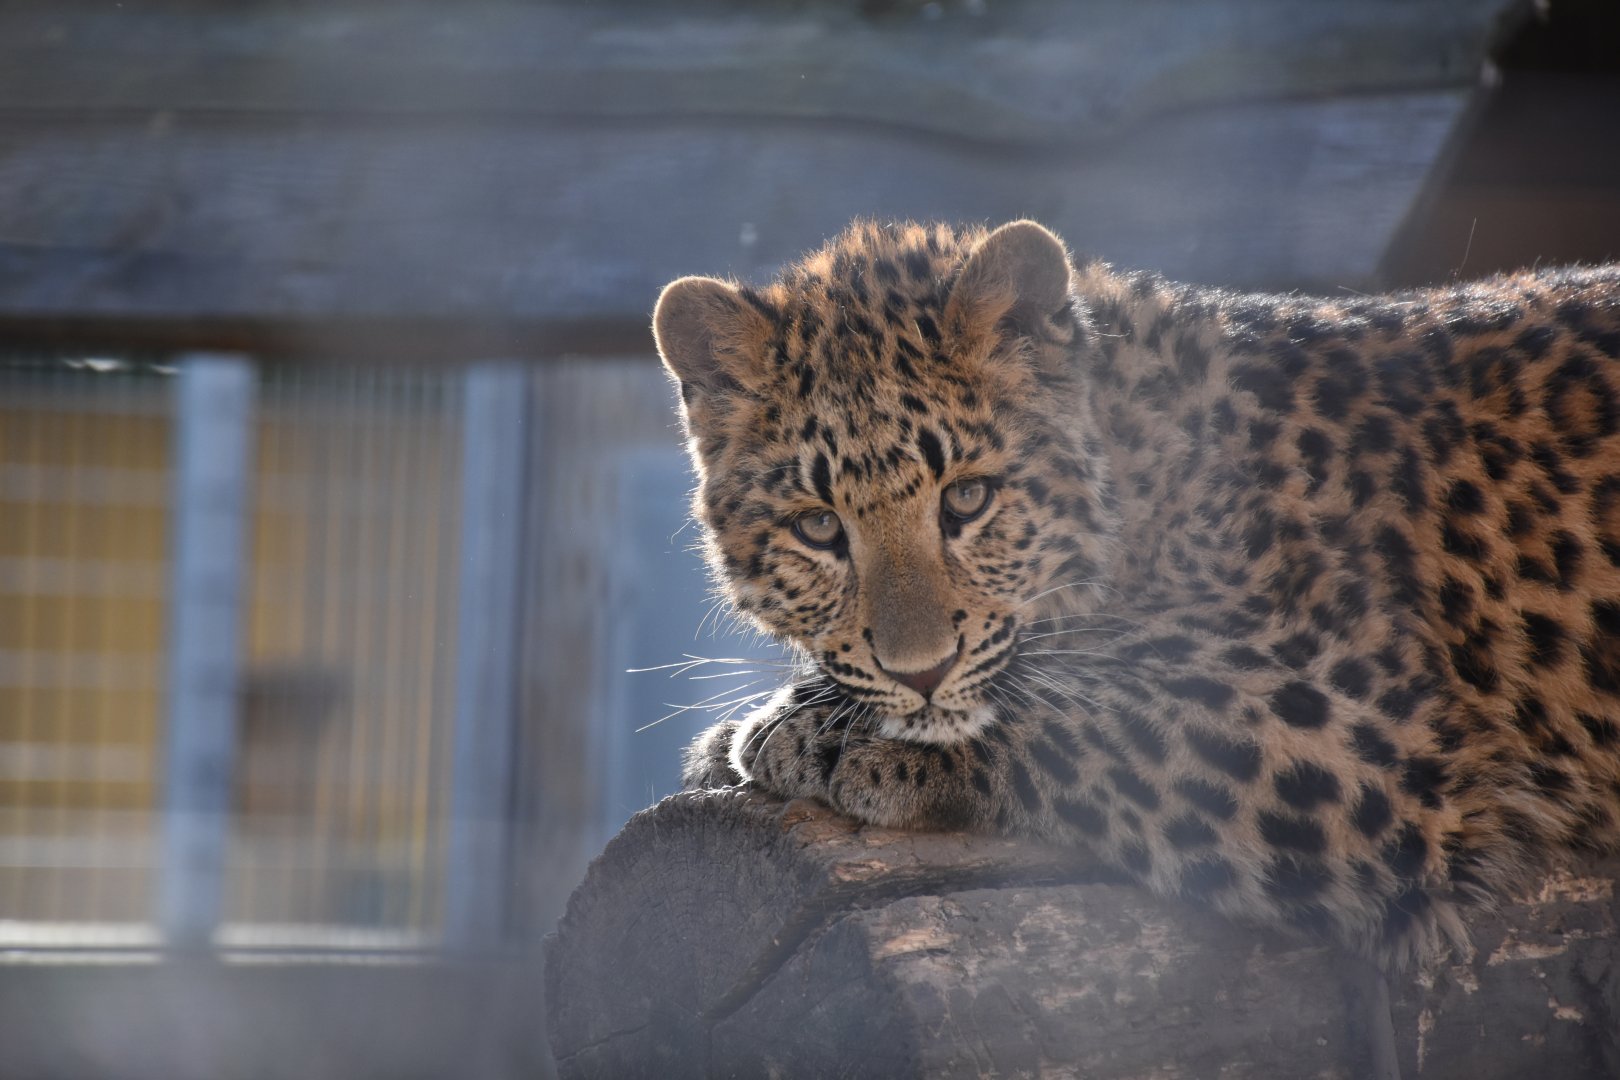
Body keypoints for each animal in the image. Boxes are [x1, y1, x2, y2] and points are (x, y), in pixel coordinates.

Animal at [652, 218, 1620, 968]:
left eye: (968, 499)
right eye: (819, 528)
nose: (920, 673)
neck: (1139, 470)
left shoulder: (1372, 738)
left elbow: (1103, 718)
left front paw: (815, 739)